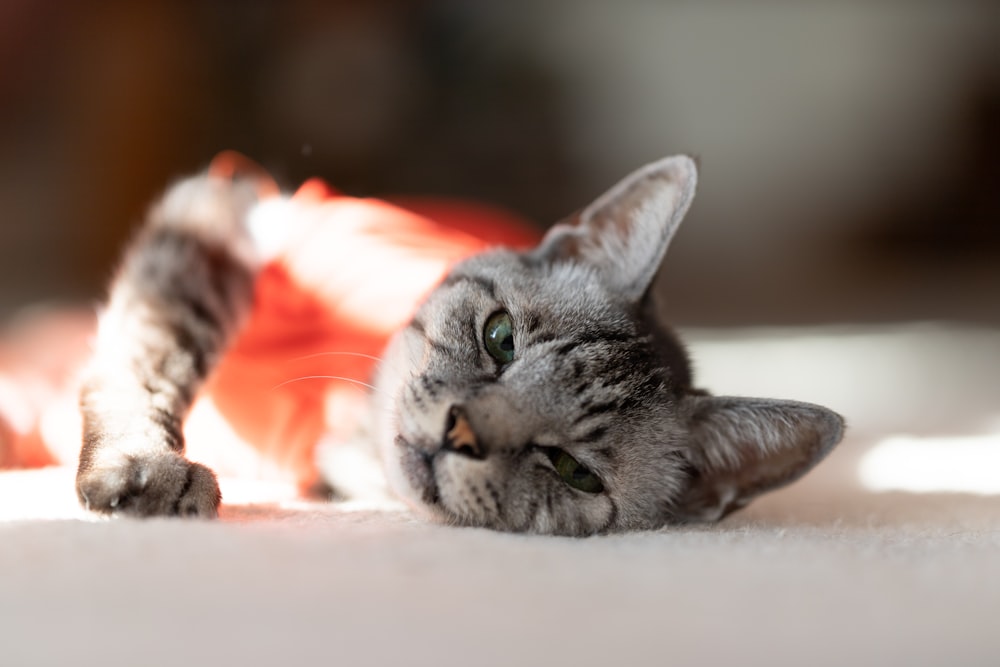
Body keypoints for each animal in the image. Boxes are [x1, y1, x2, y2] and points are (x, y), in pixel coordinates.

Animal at [76, 155, 844, 536]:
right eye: (499, 338)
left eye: (574, 470)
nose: (458, 433)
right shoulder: (227, 210)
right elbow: (154, 352)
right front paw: (141, 463)